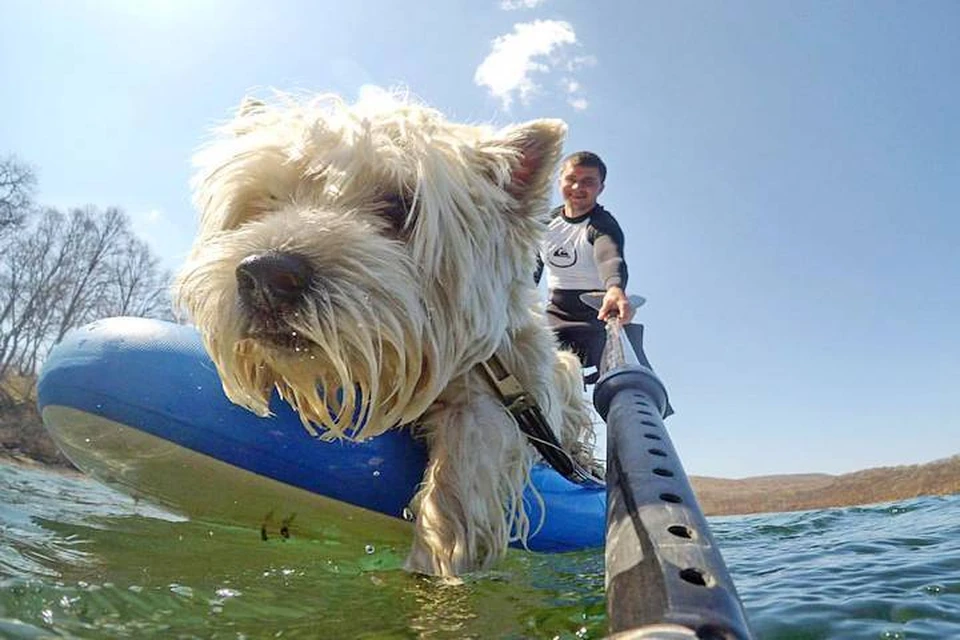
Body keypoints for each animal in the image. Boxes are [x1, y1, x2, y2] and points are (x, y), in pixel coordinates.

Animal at [172, 90, 592, 576]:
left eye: (400, 207)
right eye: (265, 201)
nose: (265, 276)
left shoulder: (503, 390)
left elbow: (462, 475)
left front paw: (437, 562)